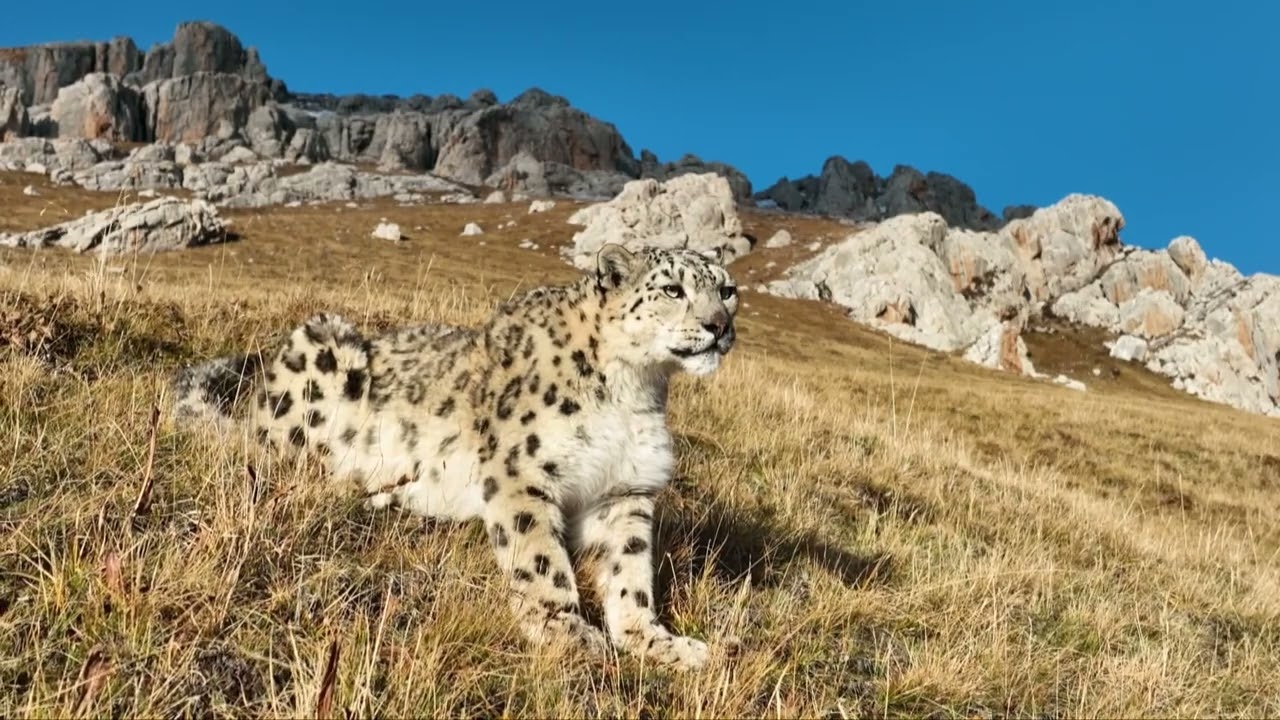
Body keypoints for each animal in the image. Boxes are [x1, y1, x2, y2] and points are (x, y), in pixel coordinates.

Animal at [170, 243, 739, 671]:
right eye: (672, 289)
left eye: (727, 289)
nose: (719, 326)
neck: (634, 389)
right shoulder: (522, 473)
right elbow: (540, 560)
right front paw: (567, 631)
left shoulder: (625, 491)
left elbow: (631, 575)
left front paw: (658, 642)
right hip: (321, 352)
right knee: (293, 461)